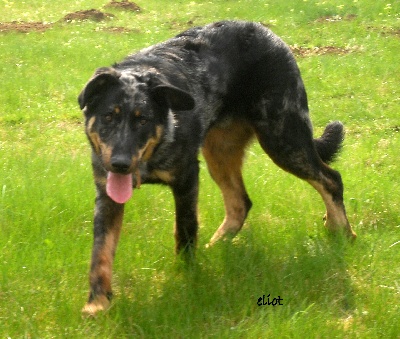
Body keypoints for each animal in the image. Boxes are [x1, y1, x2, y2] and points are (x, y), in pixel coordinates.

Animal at [78, 19, 356, 314]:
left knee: (330, 178)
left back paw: (343, 232)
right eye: (109, 116)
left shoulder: (187, 179)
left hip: (283, 138)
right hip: (220, 152)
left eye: (143, 120)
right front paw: (97, 303)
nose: (119, 164)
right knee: (240, 202)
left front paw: (186, 277)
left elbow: (185, 232)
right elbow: (100, 252)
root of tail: (263, 29)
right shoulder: (107, 194)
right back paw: (217, 245)